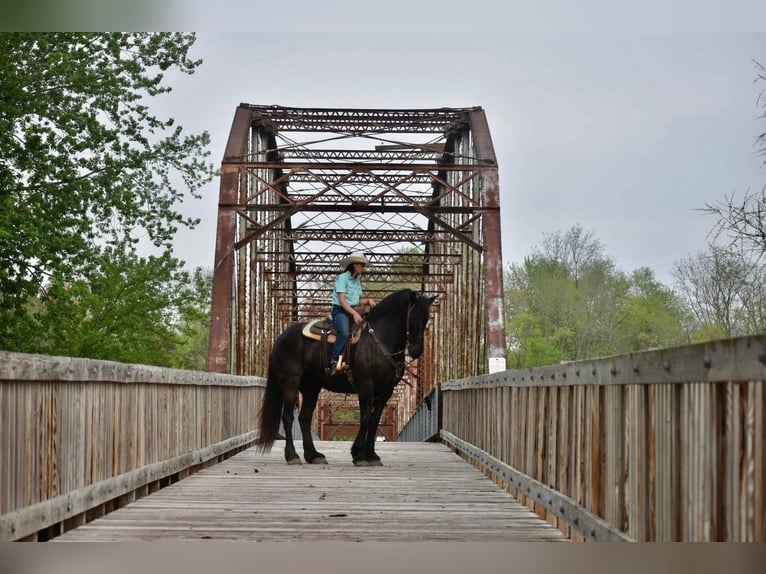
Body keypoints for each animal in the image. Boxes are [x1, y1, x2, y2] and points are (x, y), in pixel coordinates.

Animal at [258, 288, 438, 468]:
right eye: (412, 317)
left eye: (426, 319)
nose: (416, 351)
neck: (380, 341)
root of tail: (281, 339)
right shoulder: (366, 387)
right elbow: (365, 418)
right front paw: (359, 455)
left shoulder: (385, 392)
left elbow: (374, 421)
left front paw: (372, 455)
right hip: (290, 382)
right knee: (288, 417)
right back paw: (292, 455)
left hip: (311, 388)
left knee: (304, 418)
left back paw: (313, 455)